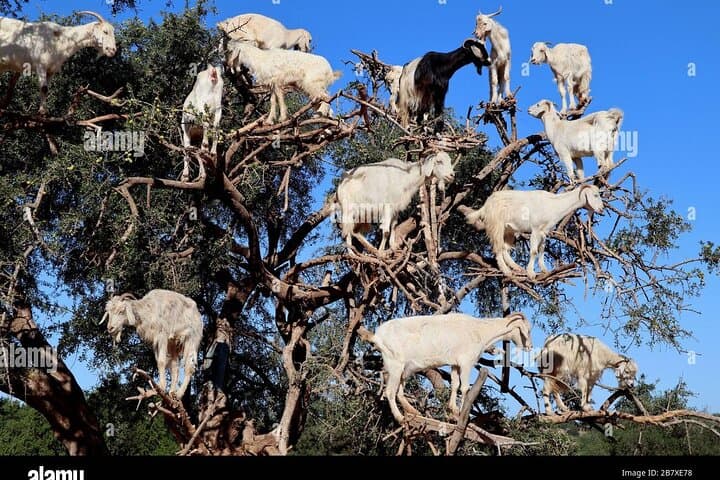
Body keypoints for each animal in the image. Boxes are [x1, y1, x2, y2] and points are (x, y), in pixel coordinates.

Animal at [357, 312, 532, 422]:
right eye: (527, 330)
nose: (530, 346)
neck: (479, 330)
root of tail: (377, 336)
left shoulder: (455, 363)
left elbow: (455, 385)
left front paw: (453, 410)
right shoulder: (466, 362)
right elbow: (465, 388)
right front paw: (462, 413)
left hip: (403, 369)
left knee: (399, 391)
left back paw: (413, 412)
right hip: (395, 365)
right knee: (390, 391)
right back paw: (400, 417)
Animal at [464, 185, 604, 279]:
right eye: (595, 195)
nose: (602, 209)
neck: (554, 204)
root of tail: (486, 204)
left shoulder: (544, 232)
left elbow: (542, 249)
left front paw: (544, 270)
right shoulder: (535, 230)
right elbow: (534, 251)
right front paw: (531, 273)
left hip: (508, 230)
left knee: (504, 248)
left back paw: (516, 267)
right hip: (496, 225)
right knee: (497, 248)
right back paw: (506, 271)